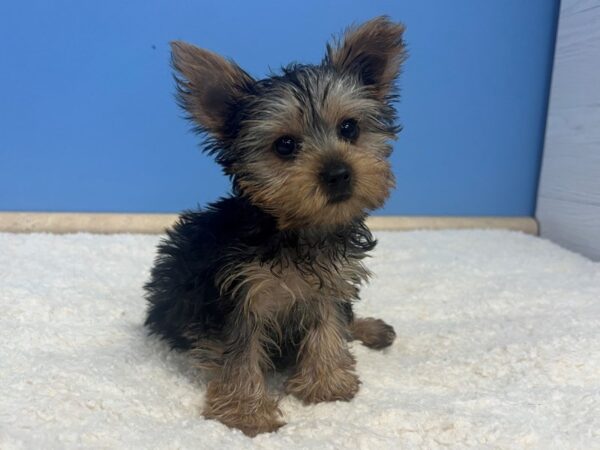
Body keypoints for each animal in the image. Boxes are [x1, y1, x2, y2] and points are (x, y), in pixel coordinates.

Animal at [145, 17, 408, 436]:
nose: (338, 173)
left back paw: (370, 329)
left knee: (347, 318)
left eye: (349, 128)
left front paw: (327, 382)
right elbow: (239, 352)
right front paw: (245, 412)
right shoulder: (237, 295)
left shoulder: (331, 282)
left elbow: (329, 324)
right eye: (285, 146)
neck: (297, 230)